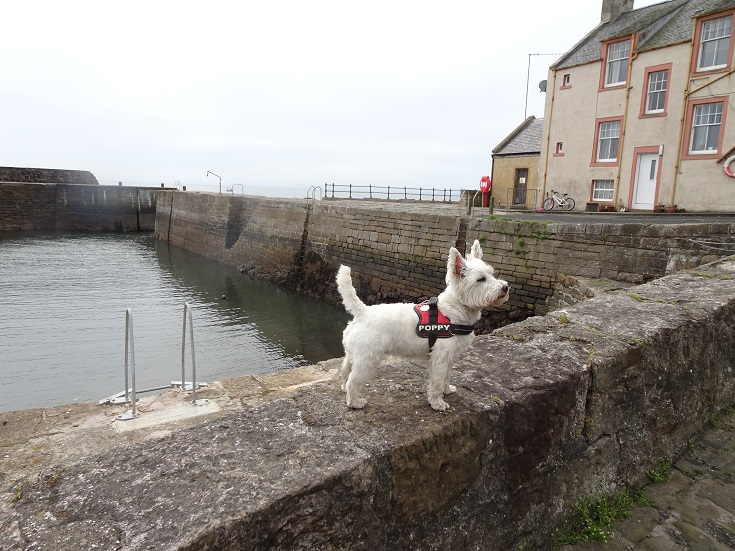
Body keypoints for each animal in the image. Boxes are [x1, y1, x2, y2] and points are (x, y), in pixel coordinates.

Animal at [336, 239, 508, 412]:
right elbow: (437, 381)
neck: (454, 311)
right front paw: (438, 403)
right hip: (368, 359)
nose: (505, 287)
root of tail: (362, 312)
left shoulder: (450, 357)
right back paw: (355, 402)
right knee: (353, 380)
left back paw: (344, 389)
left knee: (345, 371)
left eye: (491, 273)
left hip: (354, 354)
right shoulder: (440, 357)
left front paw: (447, 390)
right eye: (481, 279)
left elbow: (446, 376)